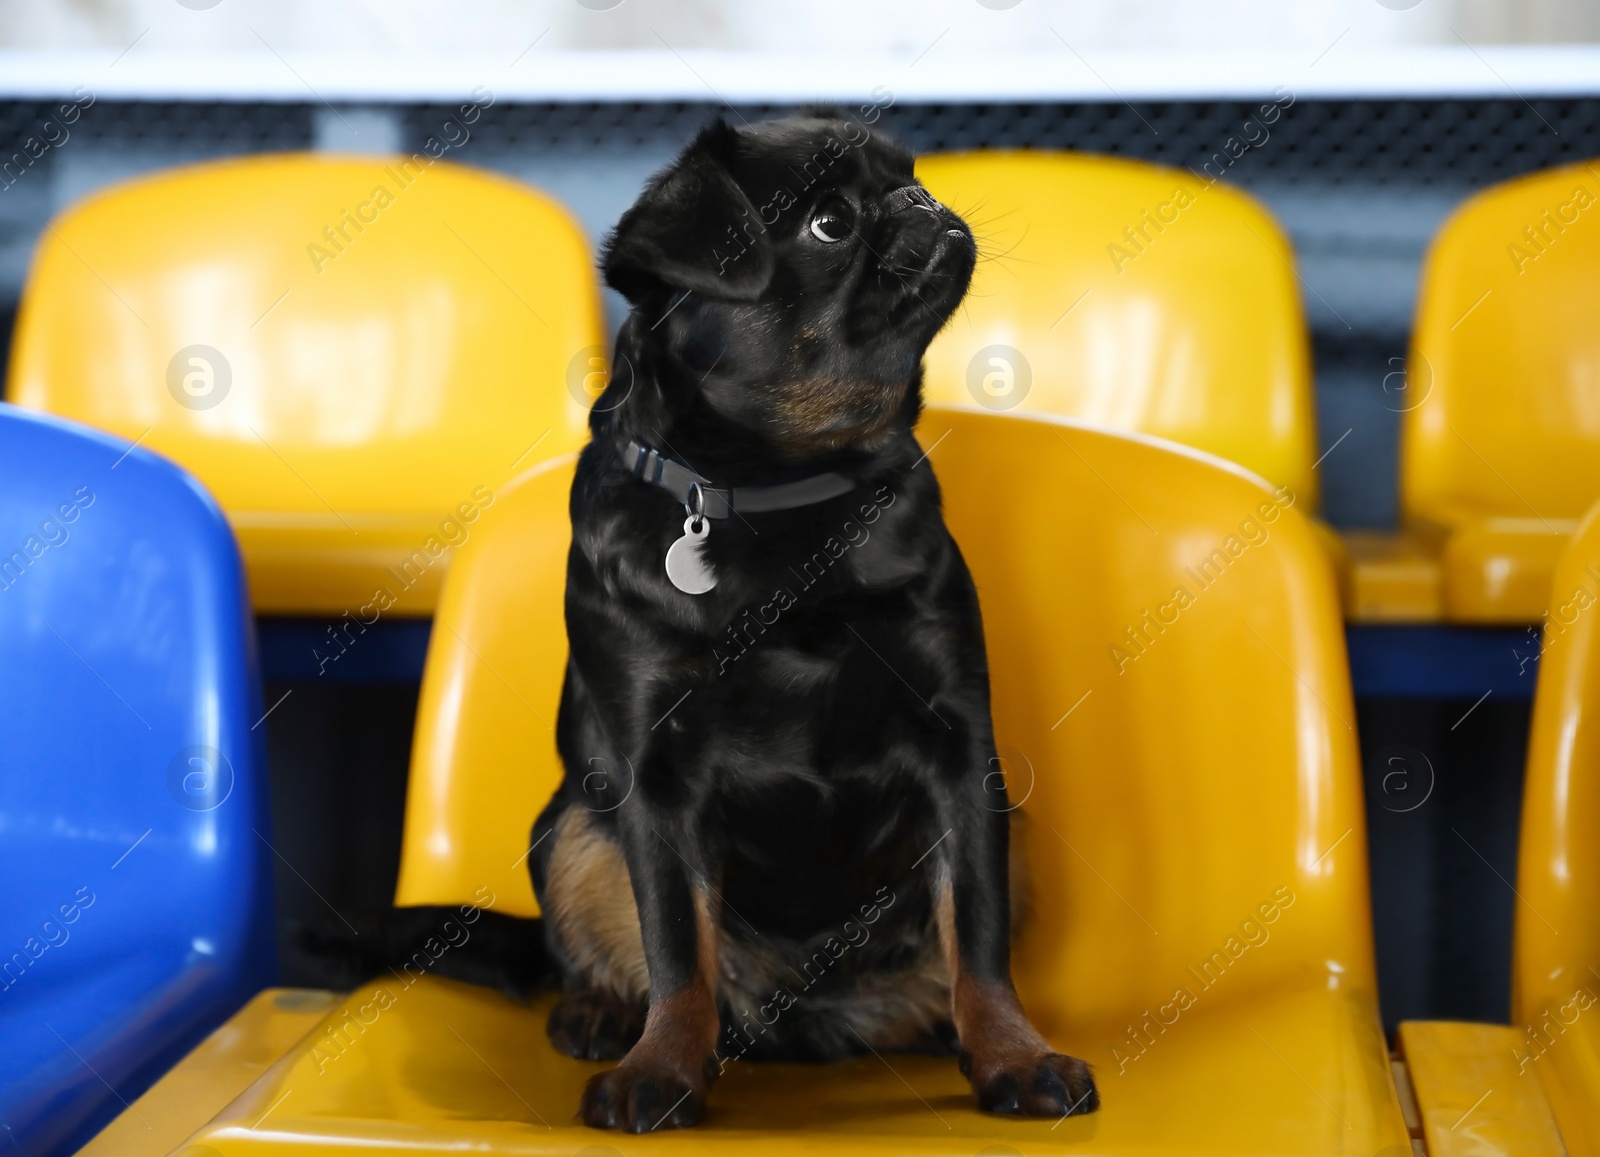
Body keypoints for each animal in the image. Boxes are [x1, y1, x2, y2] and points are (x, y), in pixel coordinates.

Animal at [528, 112, 1100, 1132]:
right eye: (830, 222)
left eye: (909, 175)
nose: (920, 202)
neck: (779, 492)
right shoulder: (654, 781)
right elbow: (675, 945)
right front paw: (662, 1067)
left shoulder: (963, 755)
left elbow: (979, 937)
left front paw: (1013, 1052)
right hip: (570, 829)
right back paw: (602, 1011)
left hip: (1017, 827)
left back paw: (942, 1027)